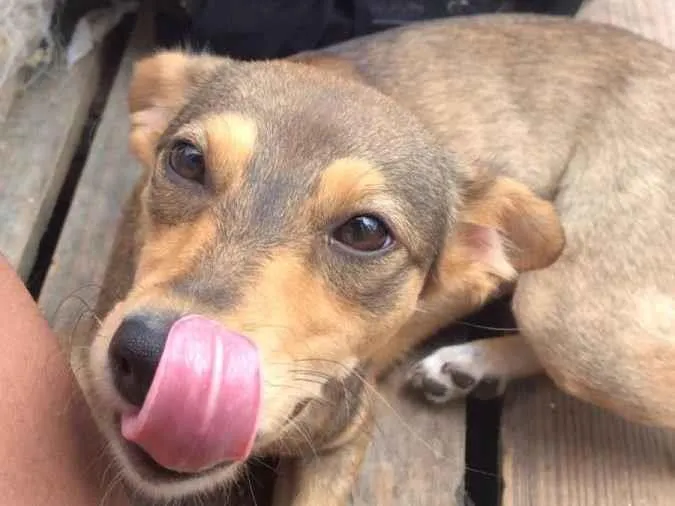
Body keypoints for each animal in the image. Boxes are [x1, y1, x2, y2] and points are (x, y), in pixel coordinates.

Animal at [76, 12, 675, 506]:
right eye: (187, 160)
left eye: (366, 232)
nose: (147, 357)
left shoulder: (344, 439)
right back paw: (467, 366)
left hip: (569, 314)